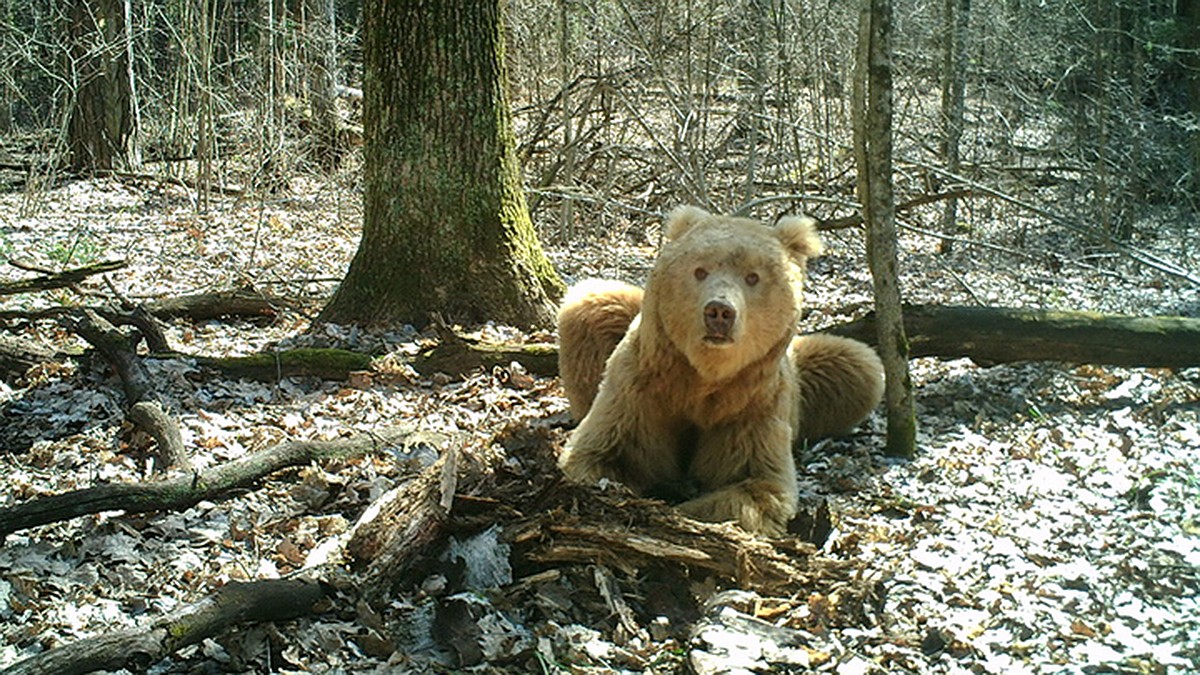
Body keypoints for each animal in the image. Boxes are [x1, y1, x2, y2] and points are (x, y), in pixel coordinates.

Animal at [552, 207, 883, 533]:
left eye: (753, 277)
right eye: (700, 270)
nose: (719, 312)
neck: (704, 375)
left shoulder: (752, 405)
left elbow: (755, 485)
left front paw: (688, 510)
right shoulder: (642, 389)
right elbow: (601, 454)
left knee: (860, 367)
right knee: (593, 301)